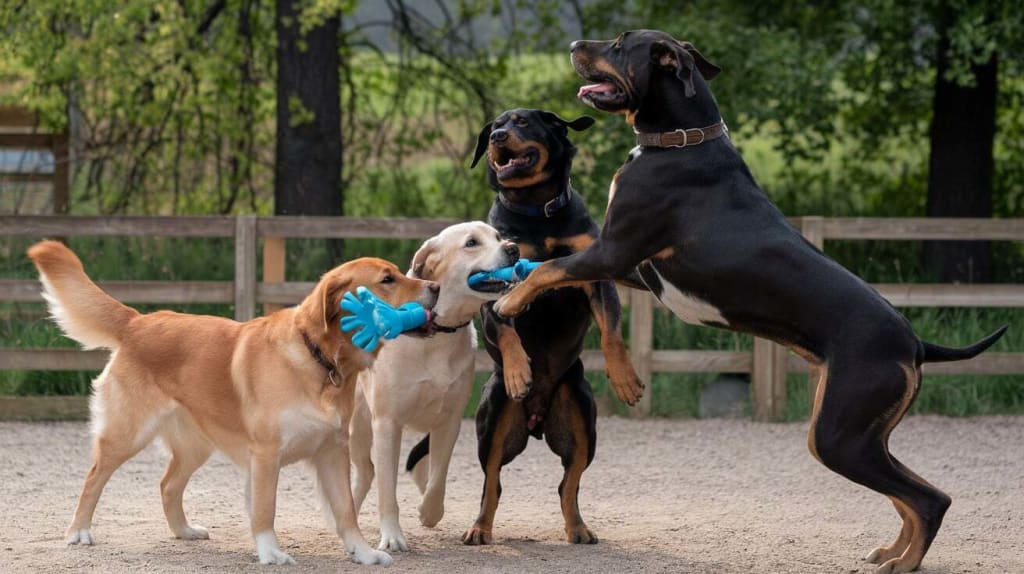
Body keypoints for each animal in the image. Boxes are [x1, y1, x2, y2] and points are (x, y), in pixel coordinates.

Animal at [28, 240, 440, 567]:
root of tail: (137, 321)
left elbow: (346, 511)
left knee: (167, 485)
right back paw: (79, 531)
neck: (318, 357)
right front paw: (270, 552)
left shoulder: (332, 453)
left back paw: (183, 530)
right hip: (127, 436)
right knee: (94, 478)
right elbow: (265, 509)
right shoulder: (266, 455)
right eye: (387, 279)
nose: (435, 286)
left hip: (195, 446)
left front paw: (364, 552)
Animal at [349, 221, 520, 552]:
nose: (514, 248)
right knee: (364, 472)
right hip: (355, 424)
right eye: (471, 243)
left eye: (497, 236)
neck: (436, 334)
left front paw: (429, 512)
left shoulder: (450, 420)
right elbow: (388, 489)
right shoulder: (387, 423)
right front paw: (392, 537)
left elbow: (438, 476)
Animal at [449, 108, 644, 546]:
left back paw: (578, 528)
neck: (536, 210)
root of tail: (536, 420)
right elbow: (506, 328)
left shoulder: (595, 274)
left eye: (522, 122)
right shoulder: (494, 284)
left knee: (568, 482)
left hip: (582, 418)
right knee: (492, 482)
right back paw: (479, 528)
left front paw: (625, 378)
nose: (497, 137)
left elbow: (611, 330)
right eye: (495, 126)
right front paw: (520, 370)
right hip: (493, 421)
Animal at [493, 30, 1008, 573]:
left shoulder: (613, 251)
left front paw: (511, 302)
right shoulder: (632, 268)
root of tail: (915, 342)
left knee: (930, 498)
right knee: (908, 491)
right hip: (863, 434)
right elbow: (552, 271)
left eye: (618, 45)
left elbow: (549, 269)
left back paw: (904, 563)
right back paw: (892, 551)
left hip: (839, 436)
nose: (574, 43)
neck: (680, 141)